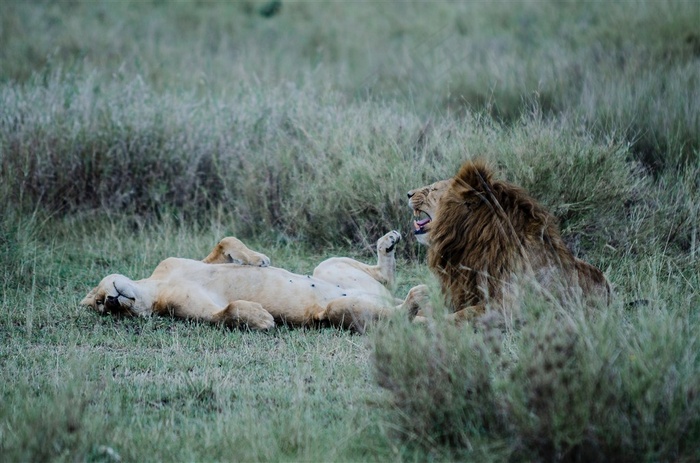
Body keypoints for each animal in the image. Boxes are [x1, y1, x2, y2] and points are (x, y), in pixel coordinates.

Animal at [79, 232, 424, 334]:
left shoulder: (177, 262)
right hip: (339, 309)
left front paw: (258, 259)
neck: (154, 287)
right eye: (103, 309)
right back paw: (417, 297)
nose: (112, 301)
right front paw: (261, 318)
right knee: (398, 316)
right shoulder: (189, 309)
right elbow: (225, 313)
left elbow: (225, 242)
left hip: (327, 266)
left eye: (98, 299)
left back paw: (389, 243)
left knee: (386, 279)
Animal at [408, 161, 608, 324]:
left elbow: (458, 316)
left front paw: (415, 322)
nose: (408, 193)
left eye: (433, 190)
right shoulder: (462, 293)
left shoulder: (510, 308)